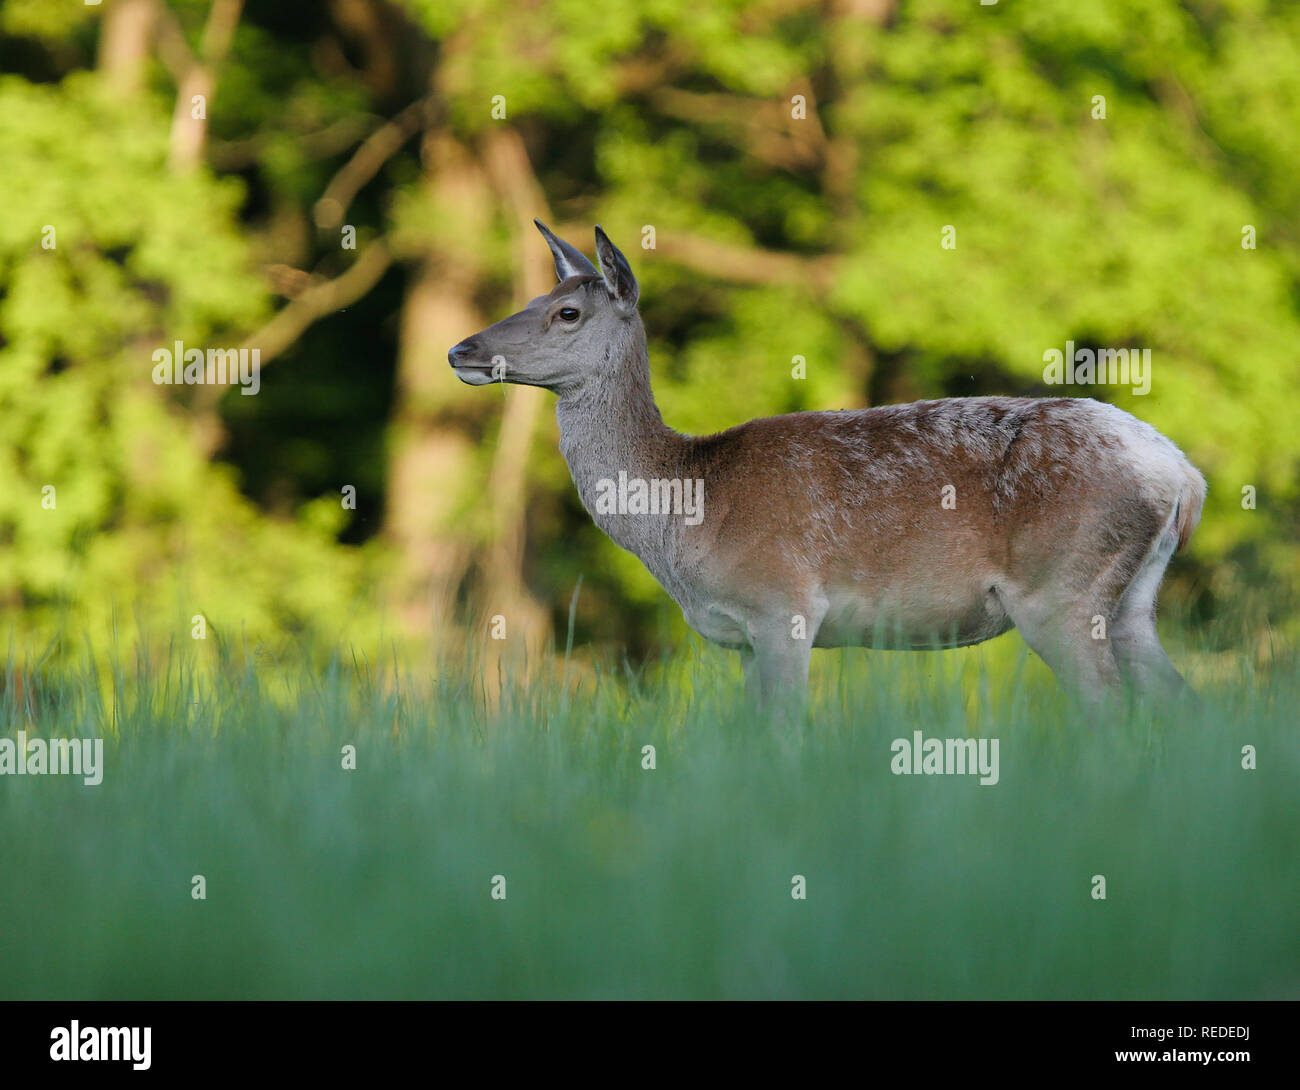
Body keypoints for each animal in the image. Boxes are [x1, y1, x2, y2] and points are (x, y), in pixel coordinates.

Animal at [449, 223, 1206, 717]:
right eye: (527, 301)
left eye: (566, 312)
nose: (462, 349)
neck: (684, 509)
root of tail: (1182, 474)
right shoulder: (745, 638)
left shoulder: (781, 602)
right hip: (1132, 601)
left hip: (1060, 589)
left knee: (1111, 710)